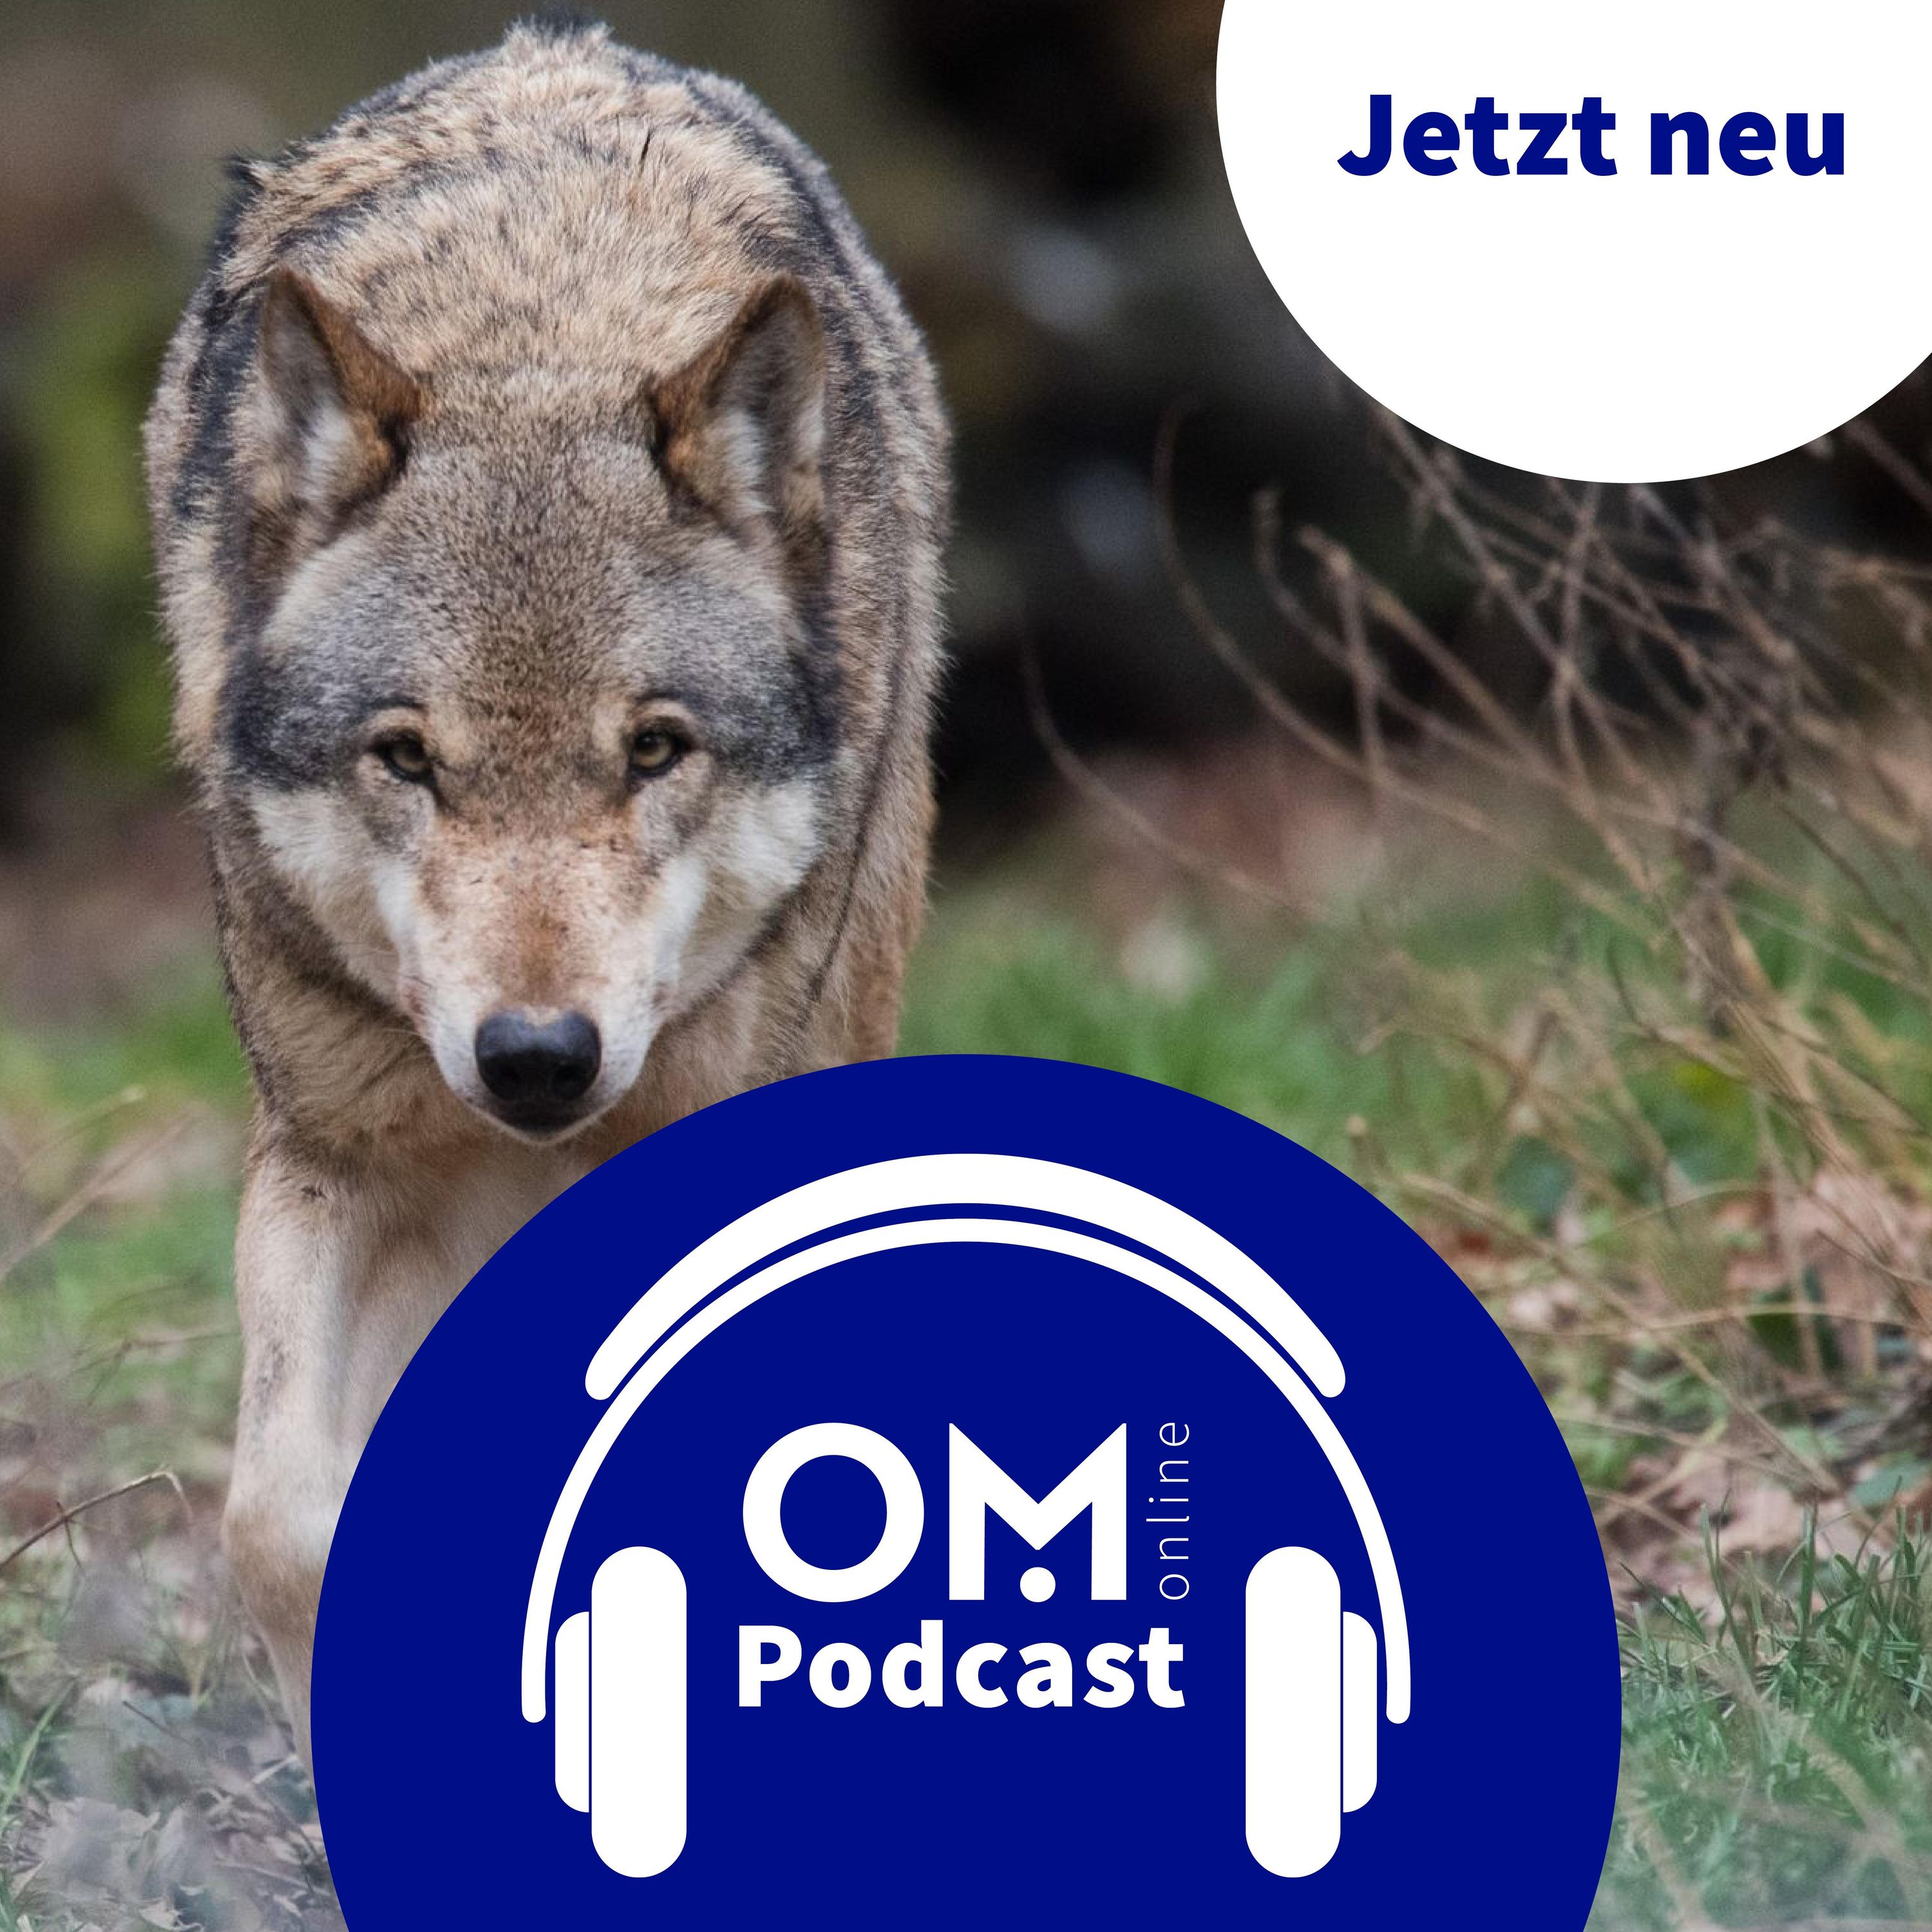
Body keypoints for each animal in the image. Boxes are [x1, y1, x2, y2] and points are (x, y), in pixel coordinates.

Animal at [143, 19, 948, 1764]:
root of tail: (561, 44)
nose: (534, 1059)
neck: (540, 330)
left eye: (653, 750)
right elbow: (278, 1521)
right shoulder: (332, 1154)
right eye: (406, 757)